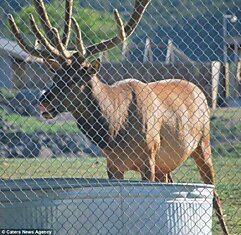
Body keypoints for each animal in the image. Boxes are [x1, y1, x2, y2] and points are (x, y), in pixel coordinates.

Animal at [8, 0, 229, 233]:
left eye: (75, 77)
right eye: (56, 75)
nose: (43, 99)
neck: (115, 128)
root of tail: (198, 90)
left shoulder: (149, 157)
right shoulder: (113, 164)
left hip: (203, 142)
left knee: (214, 194)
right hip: (166, 163)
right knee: (172, 182)